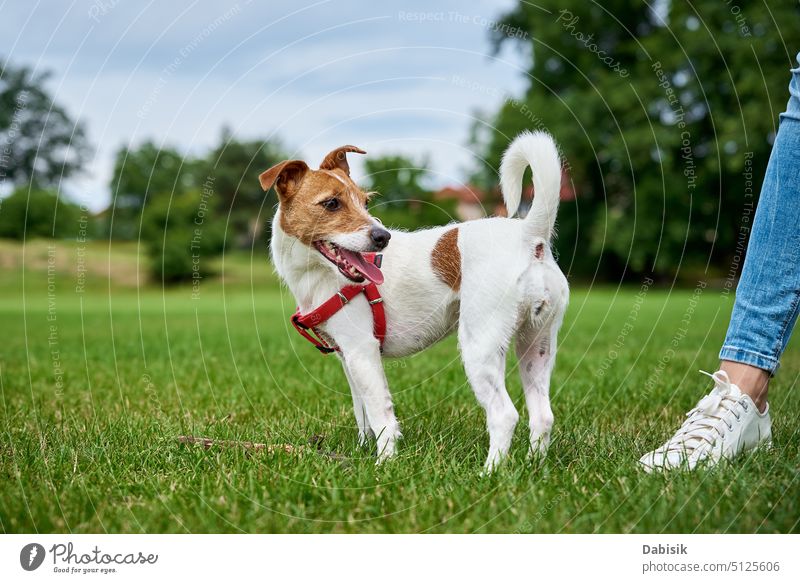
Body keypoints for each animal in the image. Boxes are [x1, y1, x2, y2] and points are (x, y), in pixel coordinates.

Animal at [262, 132, 568, 470]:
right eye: (331, 203)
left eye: (365, 202)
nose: (383, 237)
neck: (319, 274)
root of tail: (529, 235)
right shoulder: (348, 358)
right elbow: (362, 413)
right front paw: (361, 451)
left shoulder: (362, 352)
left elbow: (381, 416)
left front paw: (383, 464)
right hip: (536, 344)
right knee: (542, 416)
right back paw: (533, 467)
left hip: (480, 346)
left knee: (504, 415)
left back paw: (489, 473)